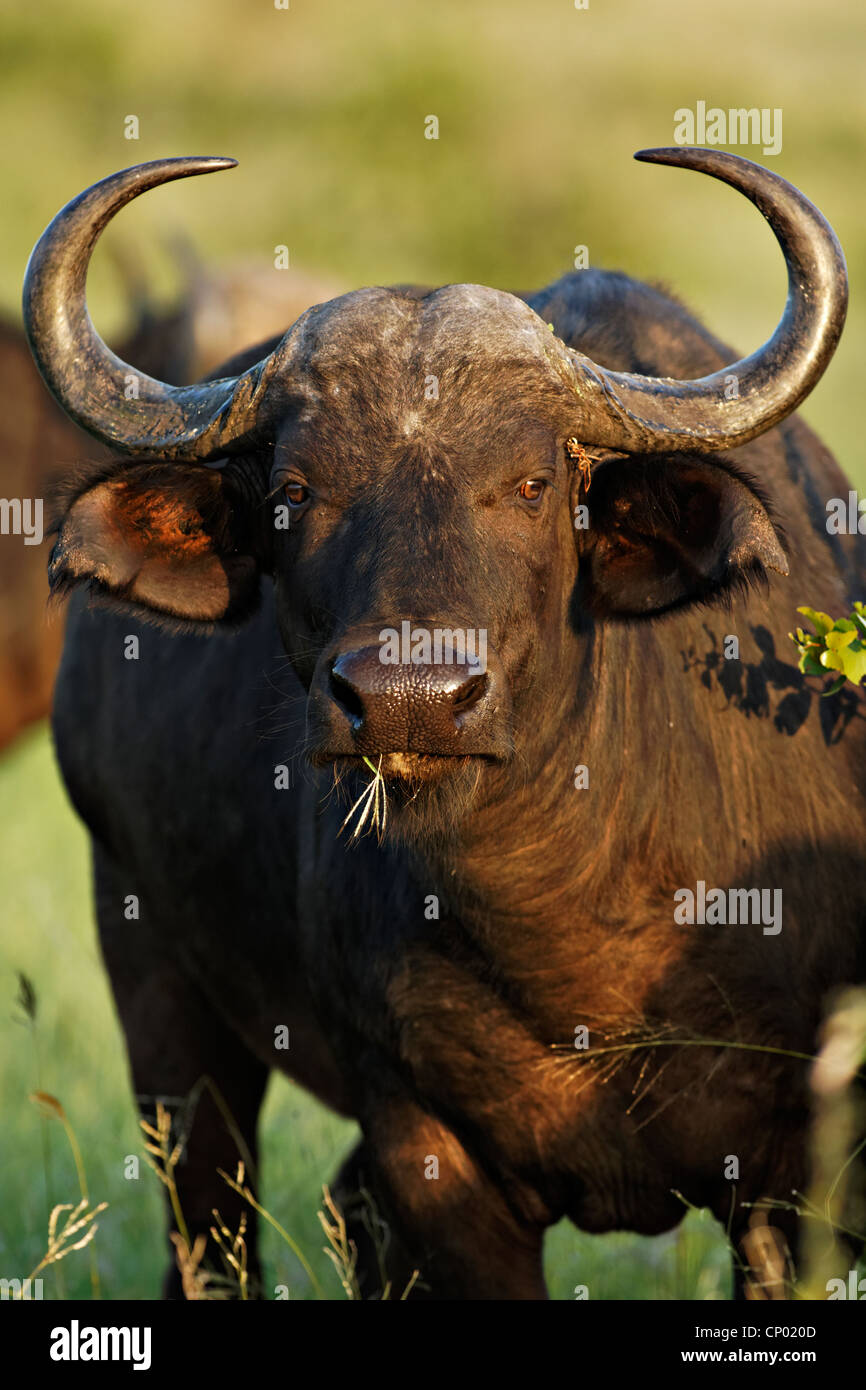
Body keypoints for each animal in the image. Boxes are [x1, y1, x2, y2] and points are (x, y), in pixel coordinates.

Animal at [25, 152, 866, 1301]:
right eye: (296, 490)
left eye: (530, 484)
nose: (406, 699)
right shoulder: (427, 1151)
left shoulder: (793, 1174)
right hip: (154, 979)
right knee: (208, 1228)